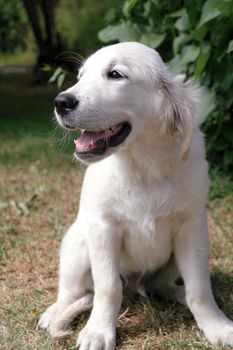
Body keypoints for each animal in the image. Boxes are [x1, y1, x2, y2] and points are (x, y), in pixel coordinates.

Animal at [38, 42, 233, 348]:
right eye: (81, 76)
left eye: (115, 75)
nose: (61, 102)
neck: (142, 167)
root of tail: (135, 284)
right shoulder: (104, 228)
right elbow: (108, 287)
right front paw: (98, 332)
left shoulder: (192, 227)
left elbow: (199, 287)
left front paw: (216, 326)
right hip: (78, 245)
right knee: (72, 291)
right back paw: (54, 312)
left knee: (159, 285)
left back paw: (177, 295)